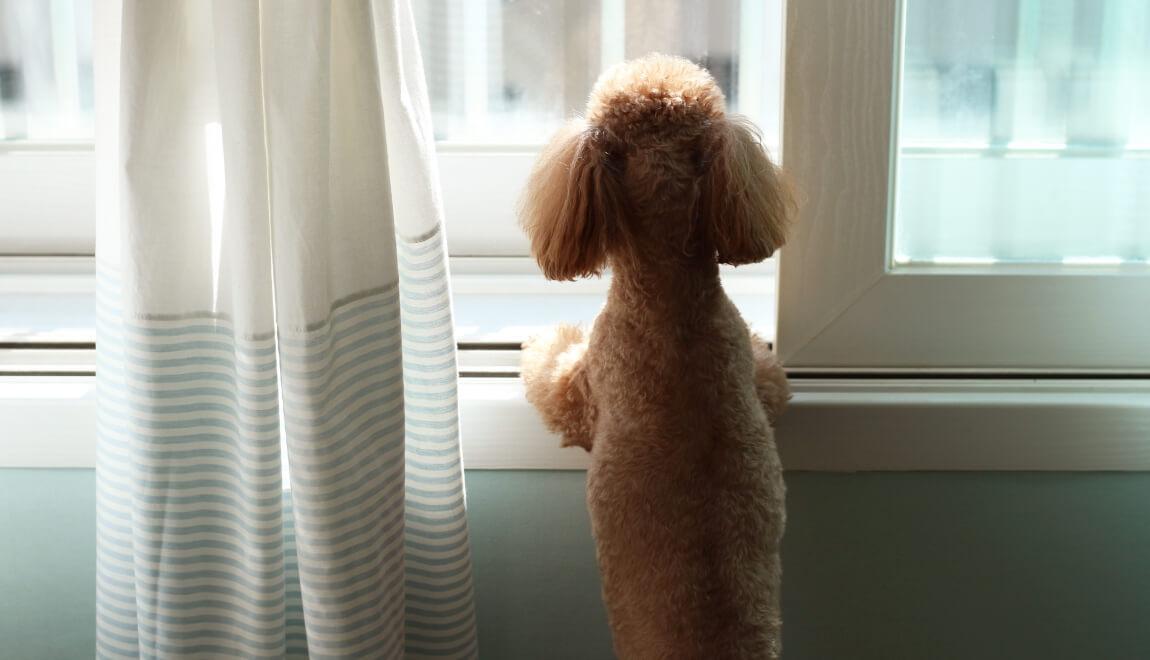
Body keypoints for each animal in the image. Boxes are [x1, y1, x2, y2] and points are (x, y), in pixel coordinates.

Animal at [519, 56, 795, 660]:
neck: (670, 300)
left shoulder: (584, 387)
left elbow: (551, 377)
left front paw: (539, 344)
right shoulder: (753, 370)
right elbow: (773, 381)